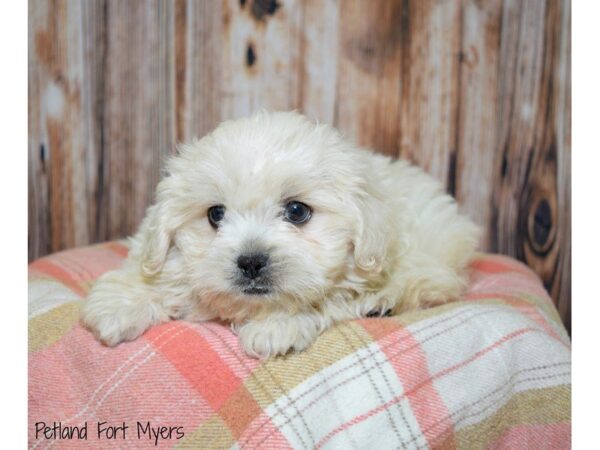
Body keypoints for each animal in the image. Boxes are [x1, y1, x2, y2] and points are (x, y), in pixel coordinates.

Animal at [82, 111, 480, 358]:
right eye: (215, 215)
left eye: (297, 211)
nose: (251, 262)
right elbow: (150, 269)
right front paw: (119, 304)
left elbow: (314, 300)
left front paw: (275, 327)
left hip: (433, 244)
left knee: (437, 280)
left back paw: (386, 300)